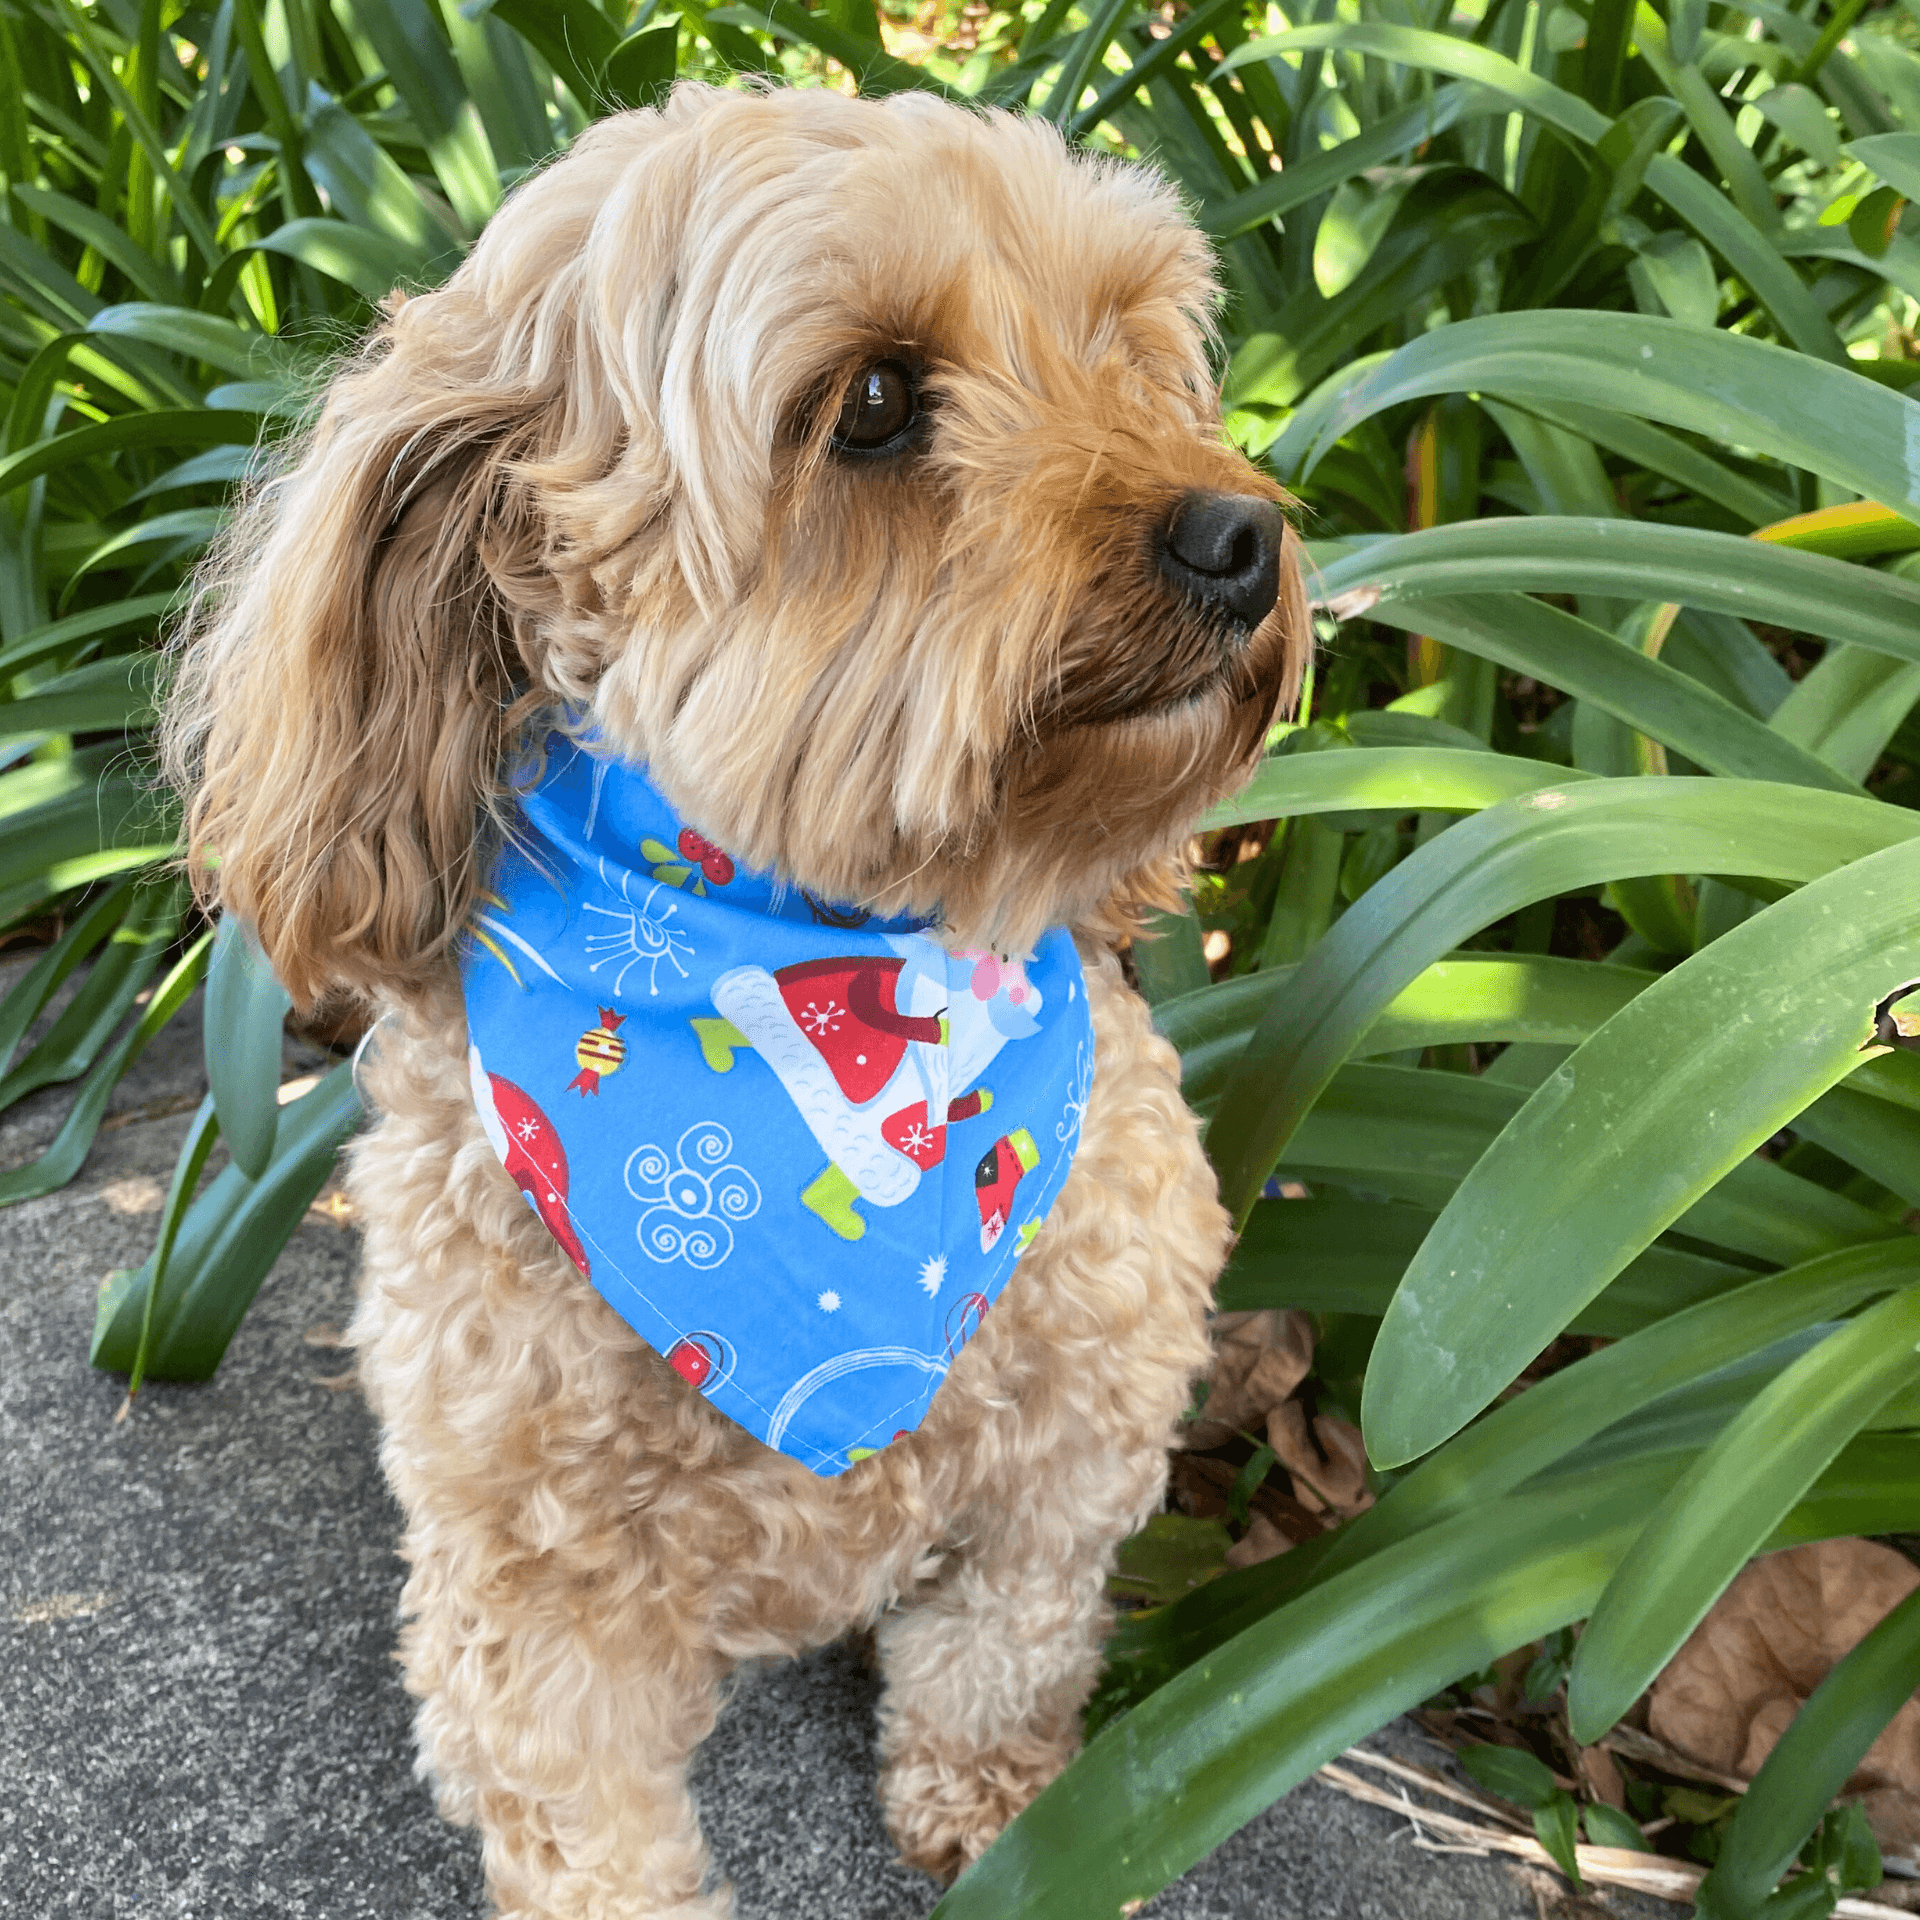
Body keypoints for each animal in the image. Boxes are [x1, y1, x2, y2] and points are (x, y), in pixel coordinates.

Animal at [165, 86, 1313, 1920]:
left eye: (1128, 349)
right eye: (876, 402)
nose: (1243, 535)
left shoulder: (1074, 1458)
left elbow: (1004, 1644)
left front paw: (1001, 1815)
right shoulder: (533, 1613)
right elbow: (594, 1836)